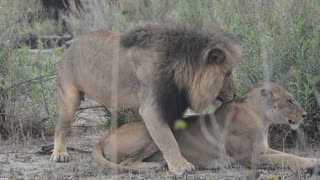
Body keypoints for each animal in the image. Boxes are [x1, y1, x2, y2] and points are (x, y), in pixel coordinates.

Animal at [51, 21, 241, 175]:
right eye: (228, 74)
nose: (235, 94)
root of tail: (68, 47)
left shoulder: (173, 107)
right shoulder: (151, 108)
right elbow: (167, 139)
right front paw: (180, 166)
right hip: (69, 96)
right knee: (60, 126)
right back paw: (59, 154)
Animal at [92, 82, 320, 174]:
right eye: (290, 100)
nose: (304, 115)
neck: (262, 118)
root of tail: (102, 138)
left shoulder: (263, 149)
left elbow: (287, 154)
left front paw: (310, 160)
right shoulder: (247, 158)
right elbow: (285, 158)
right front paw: (309, 164)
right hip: (151, 133)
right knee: (127, 162)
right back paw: (157, 166)